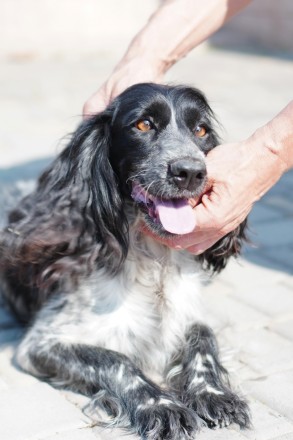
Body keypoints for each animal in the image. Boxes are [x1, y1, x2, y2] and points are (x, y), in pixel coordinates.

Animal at [1, 83, 250, 440]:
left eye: (200, 130)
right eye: (143, 125)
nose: (190, 171)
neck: (152, 260)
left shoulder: (188, 311)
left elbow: (204, 340)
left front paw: (213, 393)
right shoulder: (41, 344)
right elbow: (116, 360)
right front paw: (160, 405)